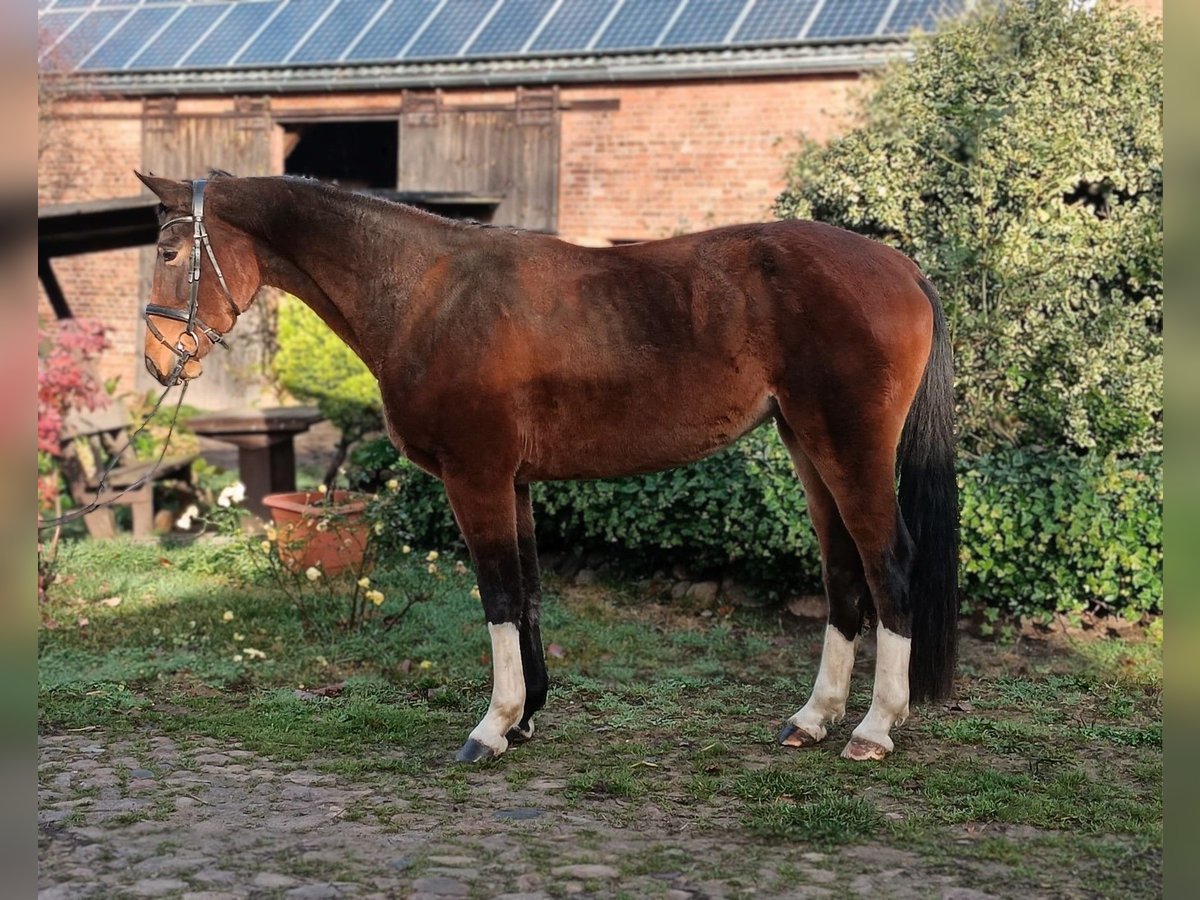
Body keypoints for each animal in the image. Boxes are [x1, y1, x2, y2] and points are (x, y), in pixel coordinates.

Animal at [136, 171, 958, 763]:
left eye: (171, 254)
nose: (155, 360)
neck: (426, 292)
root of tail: (903, 269)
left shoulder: (475, 478)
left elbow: (498, 594)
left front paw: (491, 728)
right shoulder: (516, 483)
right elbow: (528, 594)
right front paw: (526, 719)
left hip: (849, 449)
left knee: (888, 565)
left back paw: (874, 728)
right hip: (809, 448)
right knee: (843, 571)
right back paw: (813, 718)